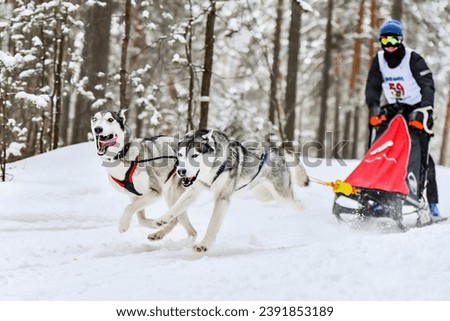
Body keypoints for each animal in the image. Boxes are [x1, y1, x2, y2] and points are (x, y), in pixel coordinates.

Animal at [91, 110, 197, 240]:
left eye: (110, 119)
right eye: (94, 119)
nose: (97, 129)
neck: (121, 156)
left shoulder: (155, 192)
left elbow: (129, 207)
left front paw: (123, 225)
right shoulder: (135, 196)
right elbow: (140, 219)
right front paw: (154, 224)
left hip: (174, 194)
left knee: (179, 220)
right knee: (181, 223)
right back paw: (159, 233)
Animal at [155, 129, 310, 251]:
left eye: (194, 155)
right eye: (180, 155)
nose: (181, 171)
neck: (212, 170)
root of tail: (277, 151)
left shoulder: (222, 198)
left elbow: (212, 224)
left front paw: (204, 244)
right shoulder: (193, 192)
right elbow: (176, 206)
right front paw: (162, 219)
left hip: (282, 195)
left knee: (299, 204)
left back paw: (305, 220)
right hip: (263, 195)